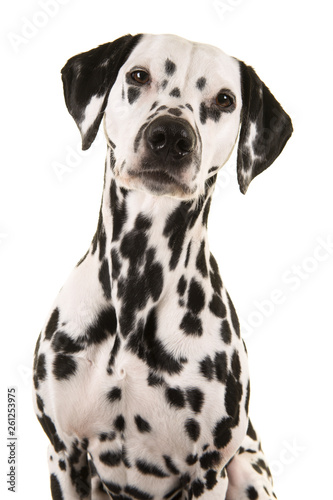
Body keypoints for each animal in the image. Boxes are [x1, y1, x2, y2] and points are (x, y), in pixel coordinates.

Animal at [32, 33, 292, 498]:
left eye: (224, 99)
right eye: (138, 76)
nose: (171, 135)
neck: (139, 280)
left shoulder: (207, 471)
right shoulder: (64, 454)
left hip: (247, 470)